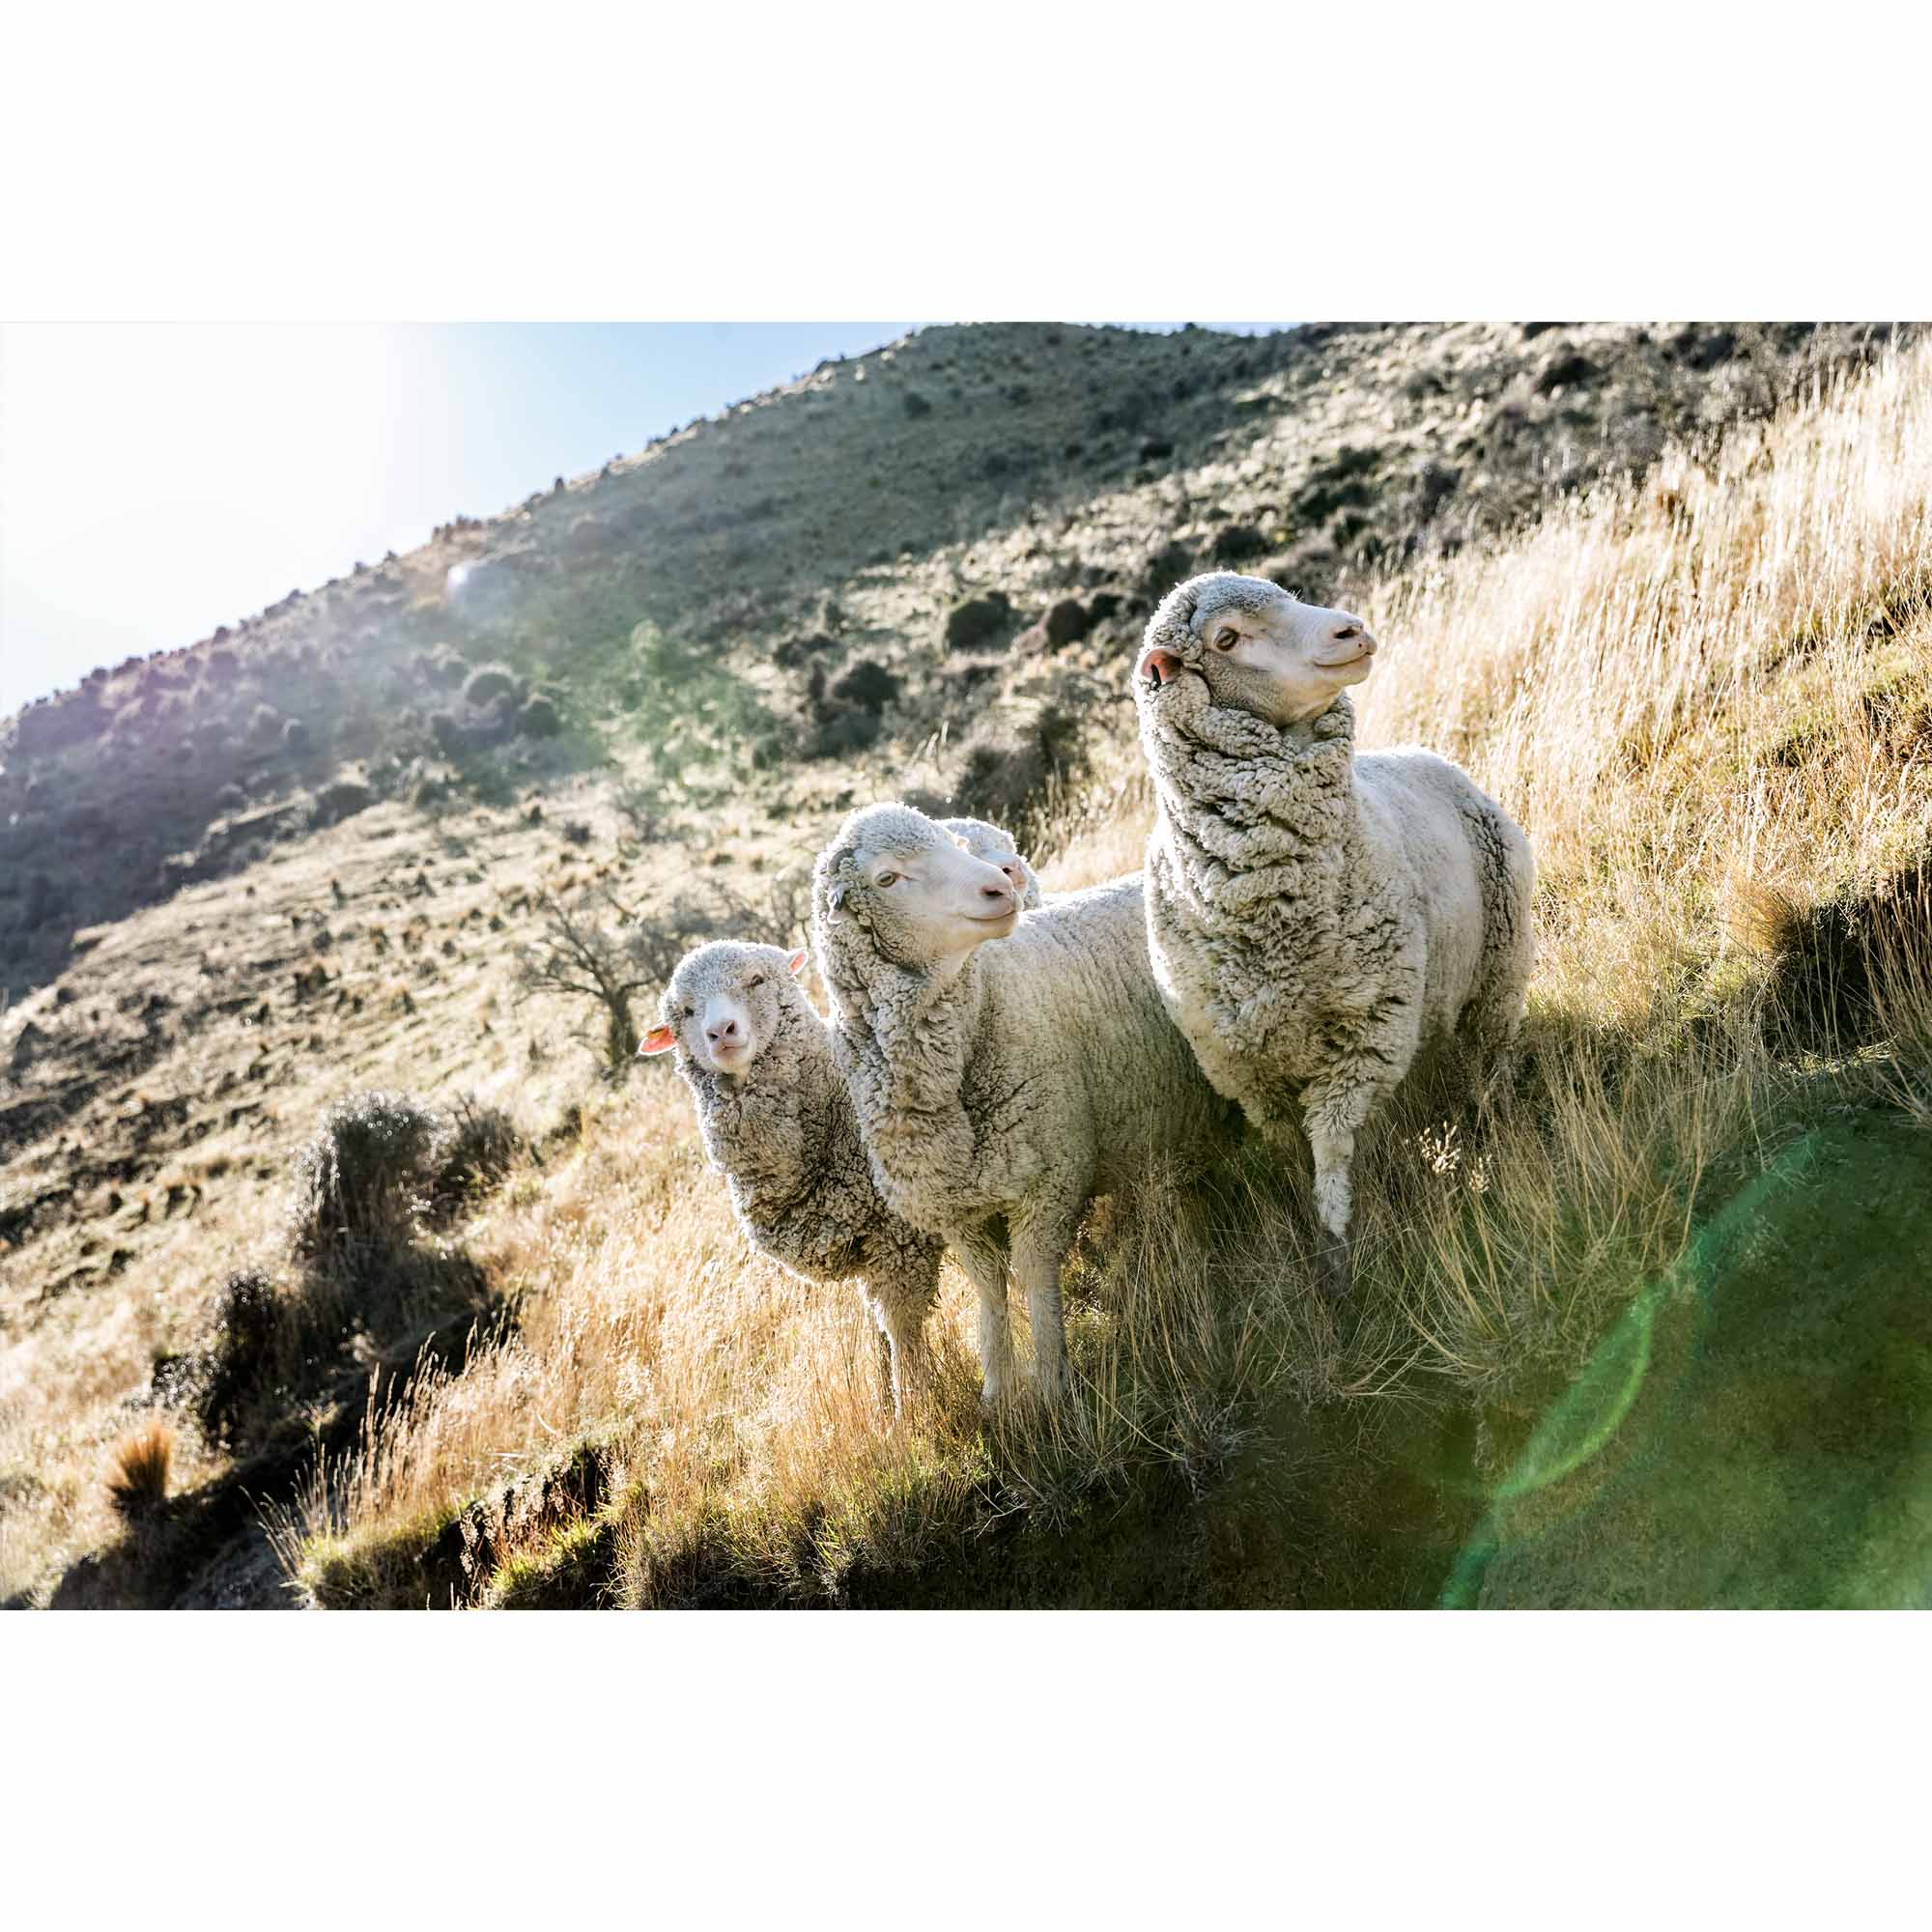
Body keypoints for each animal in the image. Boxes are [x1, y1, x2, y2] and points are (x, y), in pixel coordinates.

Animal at [639, 940, 943, 1413]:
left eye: (756, 980)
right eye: (686, 1011)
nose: (721, 1031)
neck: (835, 1103)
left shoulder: (901, 1236)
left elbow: (901, 1330)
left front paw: (913, 1408)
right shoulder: (868, 1247)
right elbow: (878, 1328)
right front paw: (884, 1398)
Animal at [813, 801, 1230, 1405]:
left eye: (955, 845)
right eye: (887, 878)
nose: (999, 888)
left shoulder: (1047, 1181)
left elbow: (1034, 1277)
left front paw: (1053, 1384)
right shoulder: (956, 1210)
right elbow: (989, 1289)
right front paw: (997, 1387)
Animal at [1133, 570, 1534, 1297]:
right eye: (1226, 638)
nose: (1353, 630)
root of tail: (1428, 754)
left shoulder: (1367, 1034)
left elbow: (1333, 1148)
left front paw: (1338, 1260)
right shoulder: (1248, 1073)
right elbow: (1294, 1151)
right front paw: (1311, 1236)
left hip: (1499, 969)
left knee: (1488, 1061)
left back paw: (1494, 1132)